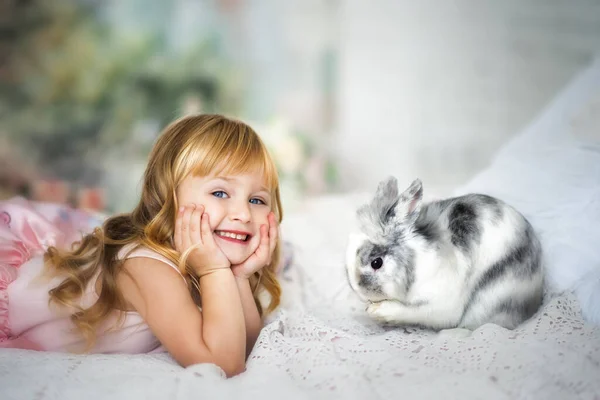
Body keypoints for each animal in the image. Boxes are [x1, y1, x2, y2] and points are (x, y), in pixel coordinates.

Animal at [344, 177, 548, 330]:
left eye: (376, 263)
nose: (358, 291)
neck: (417, 261)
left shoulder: (439, 303)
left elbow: (412, 312)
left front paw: (377, 311)